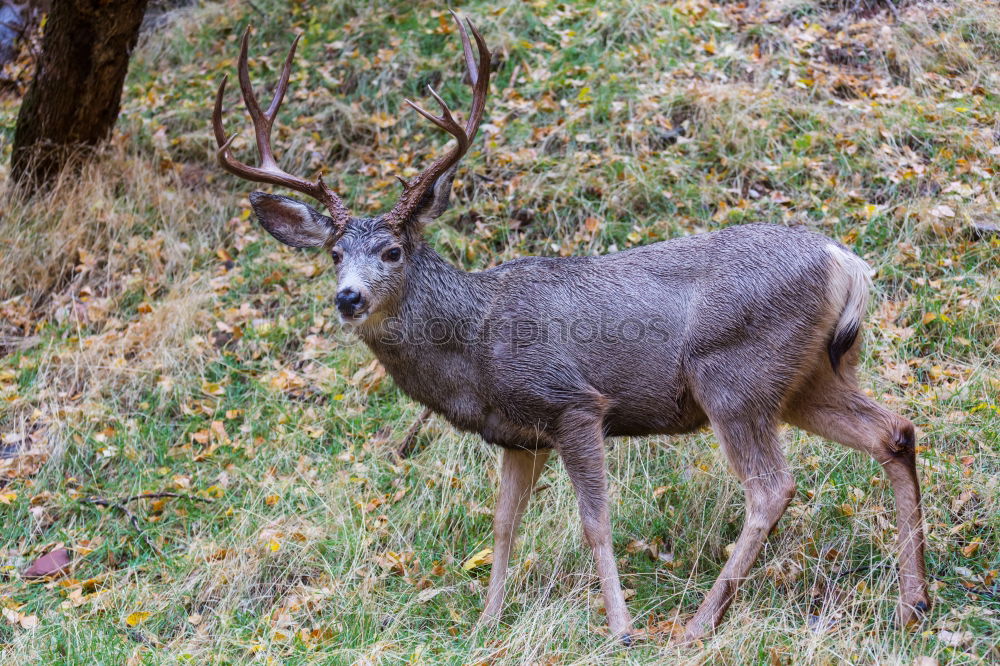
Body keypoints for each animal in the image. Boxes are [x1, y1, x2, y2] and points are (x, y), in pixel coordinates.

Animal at [211, 11, 928, 644]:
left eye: (391, 251)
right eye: (334, 253)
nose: (348, 298)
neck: (474, 345)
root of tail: (846, 263)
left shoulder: (573, 403)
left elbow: (595, 521)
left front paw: (620, 629)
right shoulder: (517, 435)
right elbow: (503, 525)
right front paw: (486, 624)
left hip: (735, 373)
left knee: (770, 488)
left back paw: (698, 625)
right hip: (809, 376)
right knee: (893, 431)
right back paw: (912, 604)